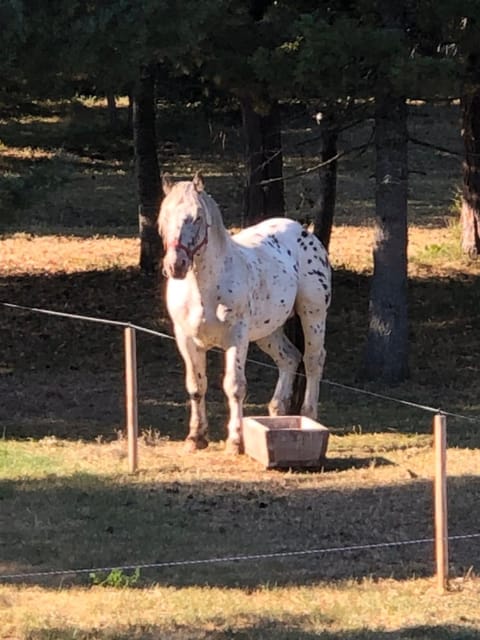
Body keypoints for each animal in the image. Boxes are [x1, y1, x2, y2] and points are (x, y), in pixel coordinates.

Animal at [159, 172, 332, 452]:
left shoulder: (236, 337)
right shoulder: (186, 339)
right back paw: (278, 411)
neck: (203, 289)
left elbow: (234, 386)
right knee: (289, 358)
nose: (176, 265)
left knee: (312, 360)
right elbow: (196, 386)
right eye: (163, 217)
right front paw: (196, 437)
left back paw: (308, 416)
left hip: (313, 314)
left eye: (197, 217)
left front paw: (236, 440)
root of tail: (305, 232)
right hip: (268, 331)